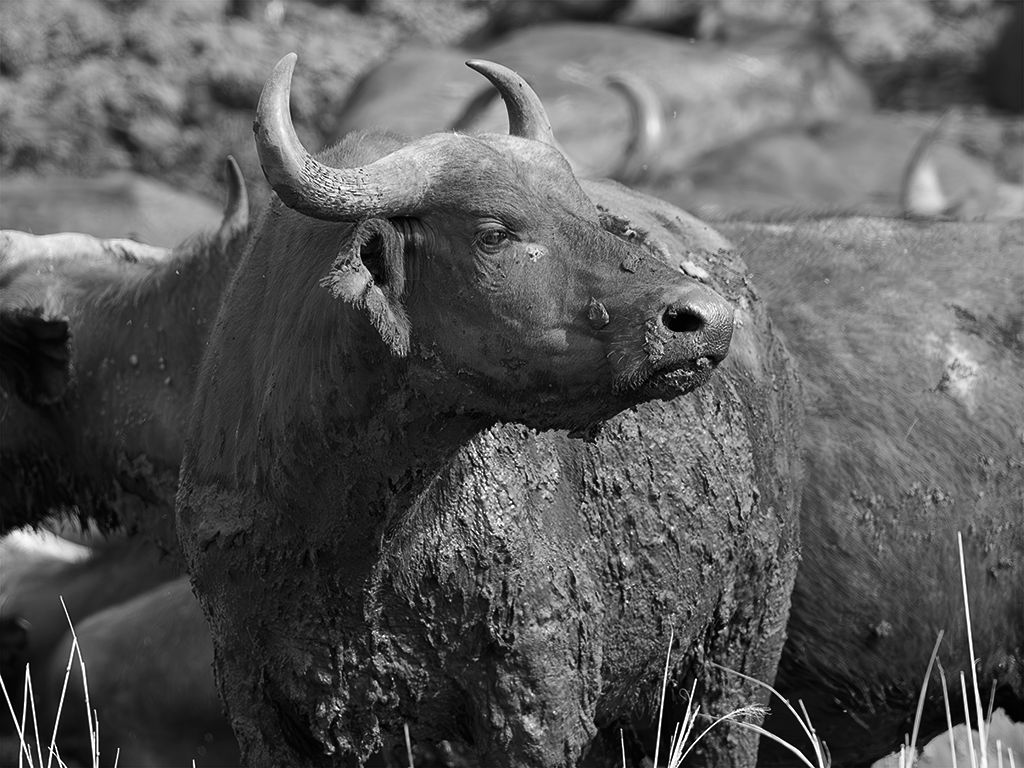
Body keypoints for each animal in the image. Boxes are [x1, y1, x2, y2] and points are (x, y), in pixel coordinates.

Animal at [175, 55, 802, 767]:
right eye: (493, 233)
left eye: (589, 213)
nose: (702, 319)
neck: (351, 534)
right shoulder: (256, 702)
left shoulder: (537, 695)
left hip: (741, 649)